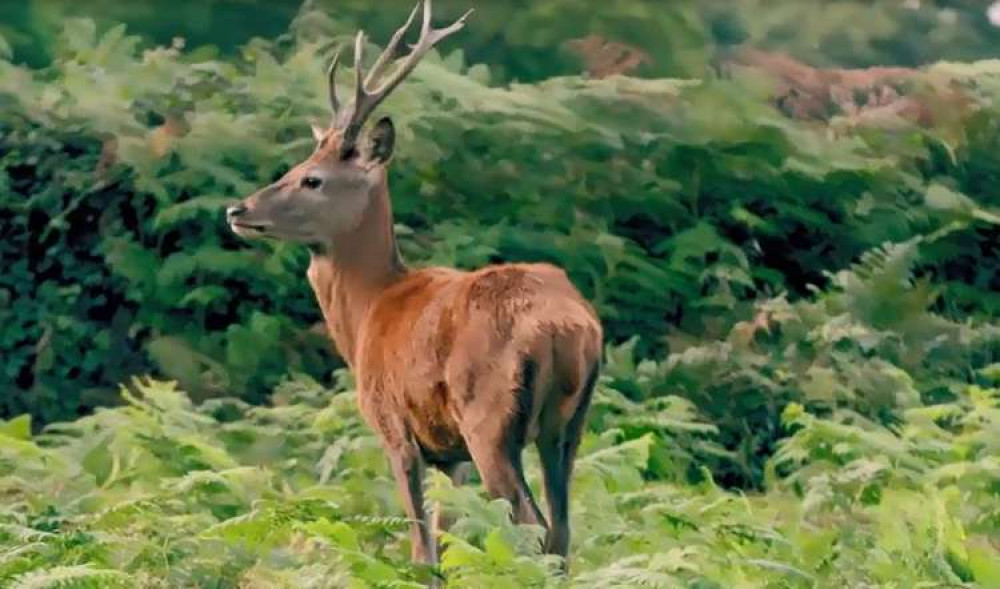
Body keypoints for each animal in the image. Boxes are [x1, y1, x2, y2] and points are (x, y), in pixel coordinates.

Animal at [227, 0, 600, 568]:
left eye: (312, 178)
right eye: (296, 165)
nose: (238, 210)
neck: (370, 310)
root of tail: (567, 328)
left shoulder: (394, 427)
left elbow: (422, 548)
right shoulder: (450, 455)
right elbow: (446, 537)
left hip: (490, 417)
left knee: (531, 526)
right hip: (569, 426)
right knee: (561, 533)